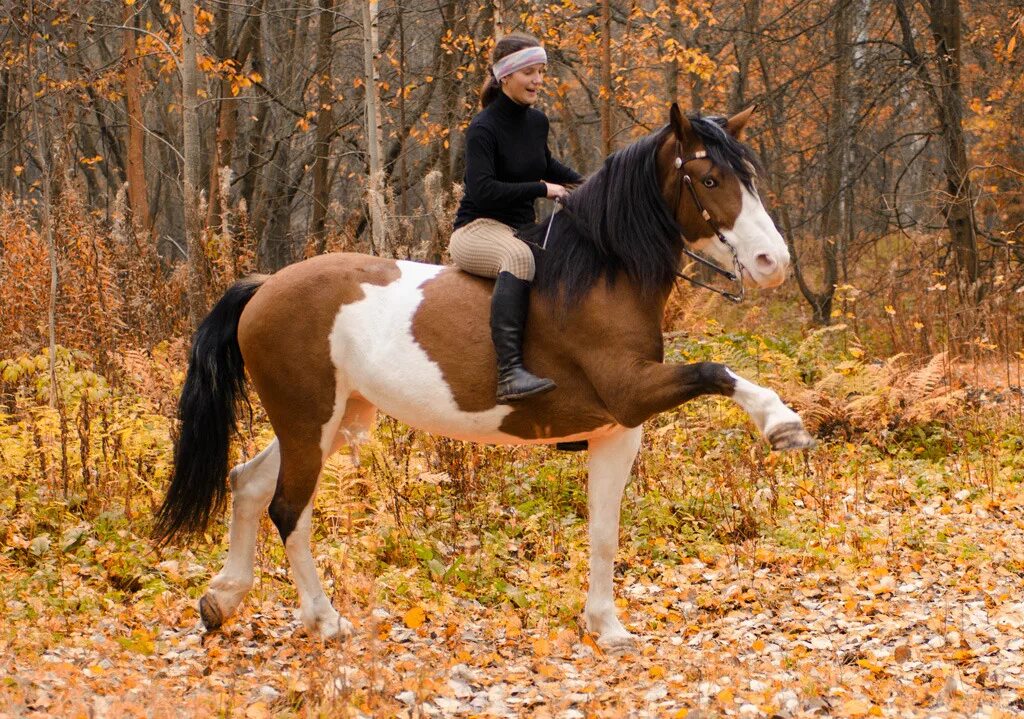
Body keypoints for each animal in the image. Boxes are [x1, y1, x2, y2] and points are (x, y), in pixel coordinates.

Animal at [155, 104, 815, 651]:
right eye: (710, 180)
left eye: (746, 178)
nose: (773, 263)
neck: (601, 275)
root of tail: (265, 287)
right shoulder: (632, 391)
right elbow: (716, 370)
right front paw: (782, 424)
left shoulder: (617, 429)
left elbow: (604, 531)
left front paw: (606, 627)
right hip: (308, 421)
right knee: (288, 510)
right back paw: (326, 621)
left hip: (334, 421)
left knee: (247, 484)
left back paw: (221, 601)